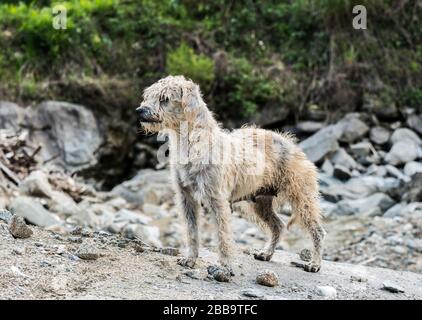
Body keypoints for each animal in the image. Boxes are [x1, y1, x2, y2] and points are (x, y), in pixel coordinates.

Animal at [138, 75, 326, 278]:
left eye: (164, 98)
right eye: (148, 95)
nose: (139, 111)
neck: (193, 143)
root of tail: (290, 143)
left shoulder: (217, 200)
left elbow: (223, 236)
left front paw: (225, 267)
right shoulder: (186, 198)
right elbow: (192, 231)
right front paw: (190, 258)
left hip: (301, 198)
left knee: (317, 230)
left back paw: (314, 263)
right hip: (260, 203)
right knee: (278, 225)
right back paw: (266, 253)